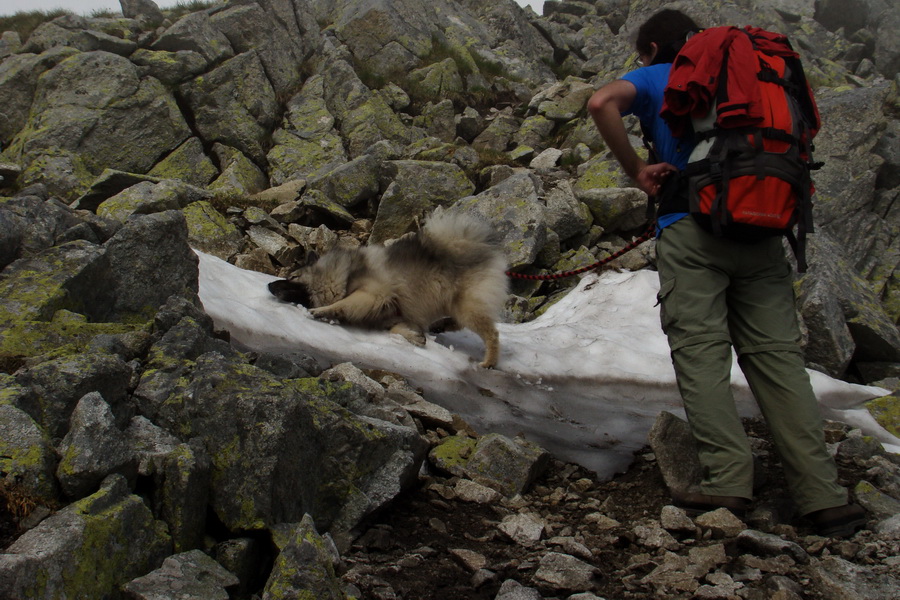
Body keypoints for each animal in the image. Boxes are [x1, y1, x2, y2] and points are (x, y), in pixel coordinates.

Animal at [266, 211, 506, 370]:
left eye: (293, 277)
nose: (268, 285)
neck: (340, 275)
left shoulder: (373, 294)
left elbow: (344, 302)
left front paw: (322, 310)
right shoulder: (392, 313)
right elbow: (396, 329)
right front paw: (416, 337)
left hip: (465, 305)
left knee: (492, 333)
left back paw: (489, 362)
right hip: (457, 305)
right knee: (461, 322)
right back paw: (441, 325)